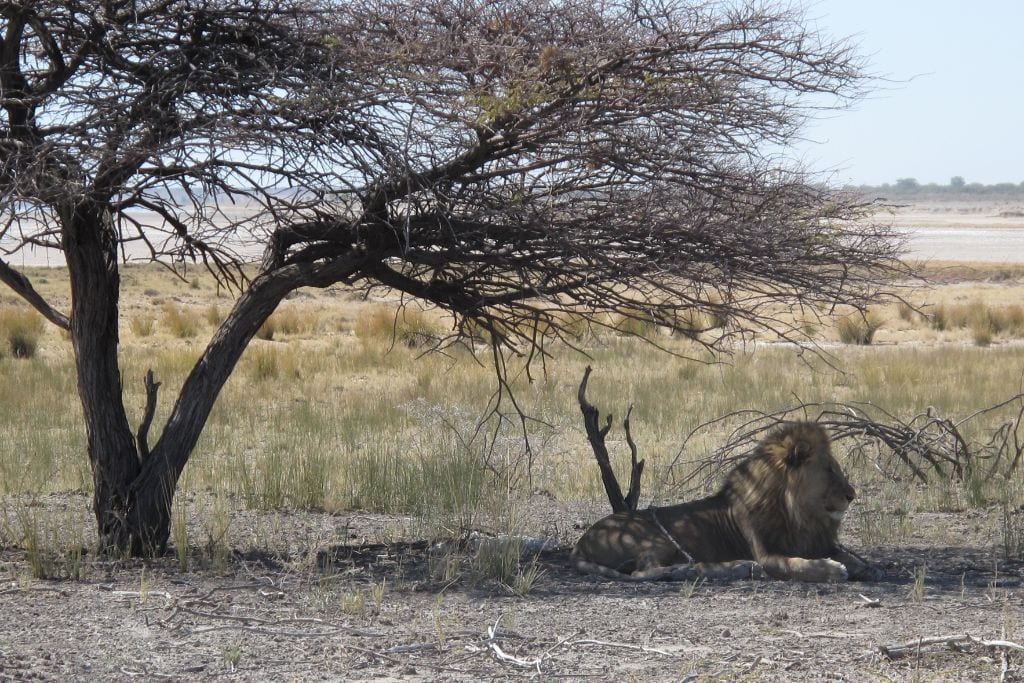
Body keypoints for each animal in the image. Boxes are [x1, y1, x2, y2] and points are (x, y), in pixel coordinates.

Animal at [571, 422, 877, 582]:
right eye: (829, 470)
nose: (851, 495)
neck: (800, 515)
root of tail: (582, 541)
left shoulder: (815, 541)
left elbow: (851, 557)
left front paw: (856, 564)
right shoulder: (767, 555)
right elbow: (797, 564)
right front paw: (831, 568)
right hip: (655, 538)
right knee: (642, 572)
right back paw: (719, 567)